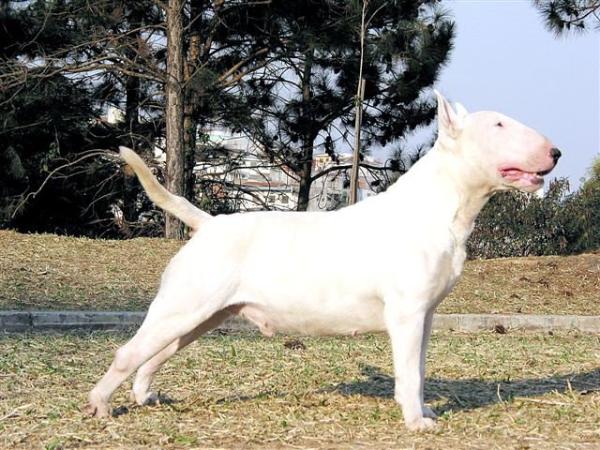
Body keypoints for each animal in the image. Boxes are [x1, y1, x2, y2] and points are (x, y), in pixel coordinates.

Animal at [83, 90, 556, 428]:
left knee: (156, 354)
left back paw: (144, 395)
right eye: (498, 124)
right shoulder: (406, 313)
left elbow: (419, 368)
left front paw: (422, 411)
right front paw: (415, 422)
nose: (556, 153)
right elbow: (408, 372)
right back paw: (100, 404)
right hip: (183, 306)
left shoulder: (425, 315)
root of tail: (209, 223)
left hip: (202, 314)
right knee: (129, 352)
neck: (441, 205)